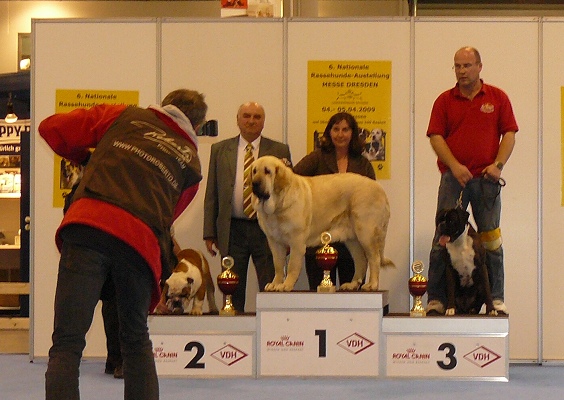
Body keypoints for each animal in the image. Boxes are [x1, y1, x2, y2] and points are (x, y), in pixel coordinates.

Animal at [251, 155, 392, 290]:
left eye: (267, 171)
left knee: (374, 258)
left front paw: (286, 285)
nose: (254, 183)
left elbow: (292, 266)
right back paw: (352, 284)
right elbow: (278, 266)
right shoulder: (275, 243)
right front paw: (275, 284)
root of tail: (380, 189)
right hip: (353, 240)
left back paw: (372, 284)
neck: (277, 206)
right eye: (254, 171)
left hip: (366, 234)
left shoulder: (296, 241)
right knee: (361, 260)